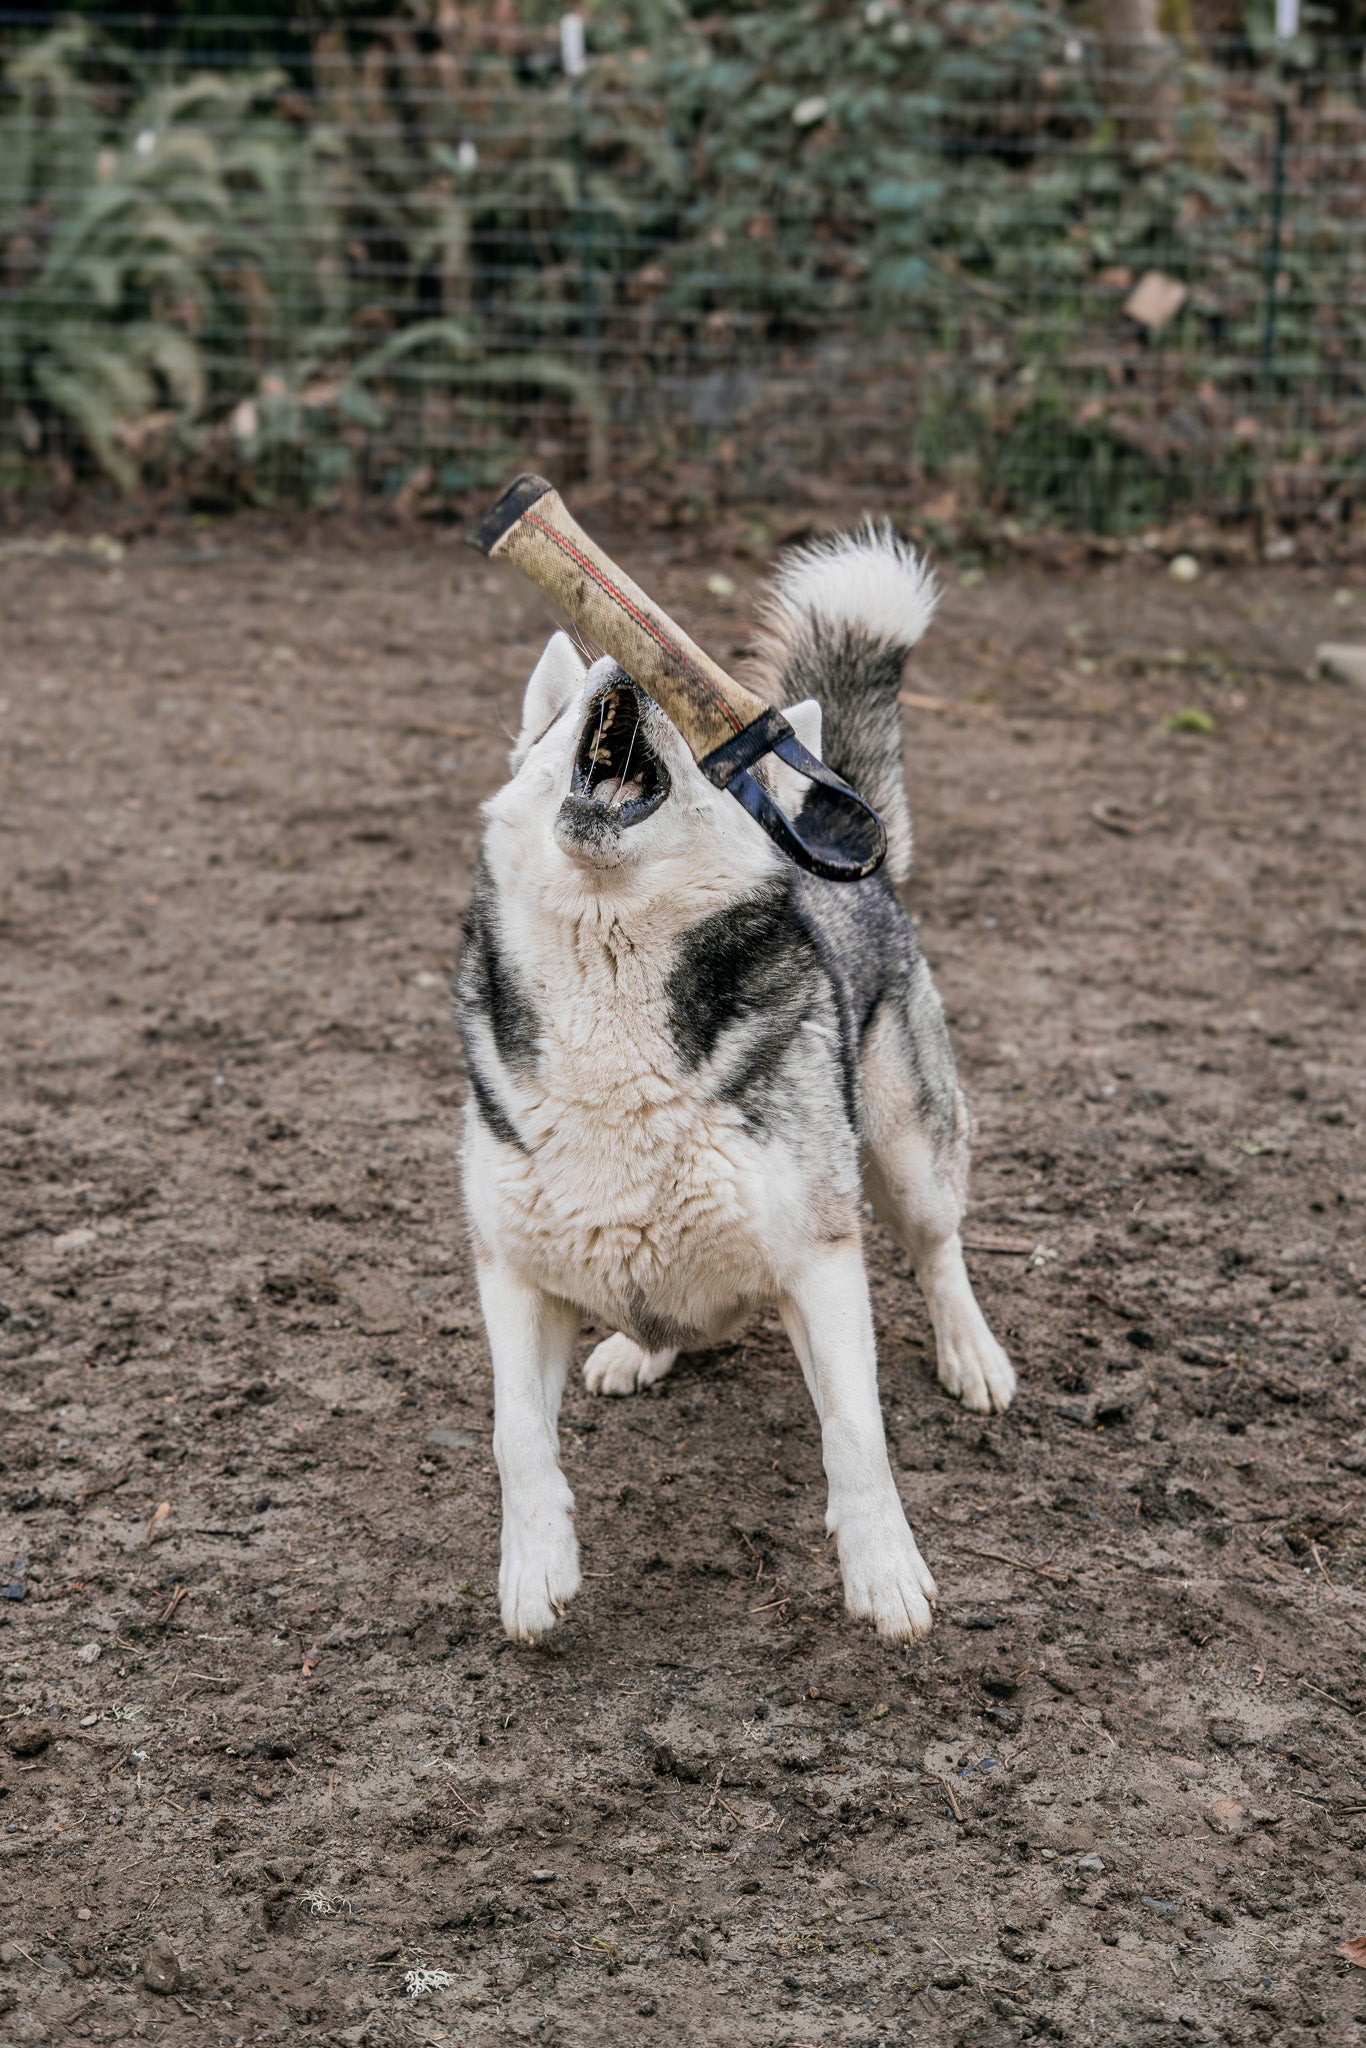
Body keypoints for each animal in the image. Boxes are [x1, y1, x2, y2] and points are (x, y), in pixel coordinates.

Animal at [456, 524, 1015, 1646]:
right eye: (580, 695)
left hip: (905, 1149)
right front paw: (534, 1571)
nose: (627, 662)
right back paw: (639, 1349)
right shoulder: (513, 1271)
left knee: (940, 1250)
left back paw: (971, 1352)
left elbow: (856, 1434)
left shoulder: (820, 1254)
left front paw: (885, 1572)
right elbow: (515, 1437)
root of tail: (855, 864)